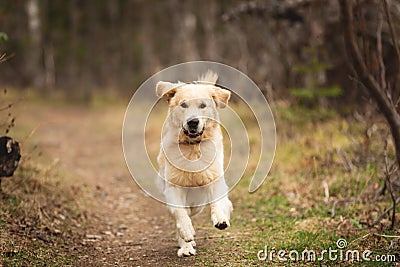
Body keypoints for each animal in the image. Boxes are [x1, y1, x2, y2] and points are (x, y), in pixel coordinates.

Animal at [155, 70, 233, 258]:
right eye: (183, 105)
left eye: (203, 105)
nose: (193, 122)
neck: (192, 147)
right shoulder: (173, 186)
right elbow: (180, 213)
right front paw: (186, 232)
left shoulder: (214, 178)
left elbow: (218, 201)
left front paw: (221, 218)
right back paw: (186, 247)